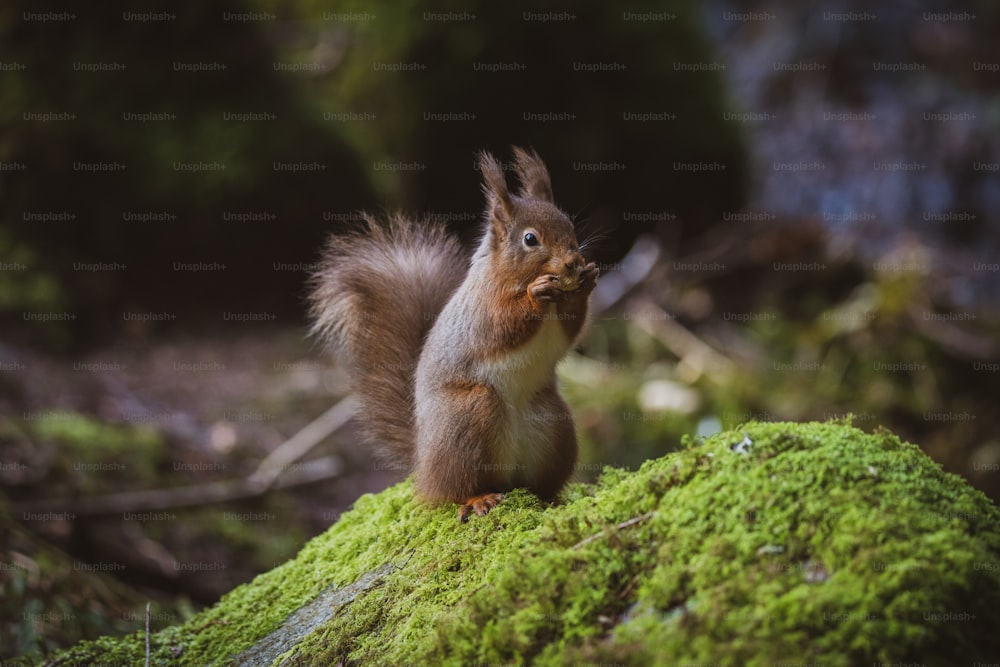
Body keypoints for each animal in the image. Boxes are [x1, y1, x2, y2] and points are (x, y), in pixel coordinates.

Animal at [308, 149, 596, 524]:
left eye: (570, 227)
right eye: (530, 239)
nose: (573, 262)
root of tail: (424, 465)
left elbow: (568, 332)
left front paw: (586, 282)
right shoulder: (481, 311)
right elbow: (500, 329)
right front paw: (537, 293)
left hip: (552, 423)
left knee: (536, 483)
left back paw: (552, 499)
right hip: (469, 413)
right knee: (453, 490)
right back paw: (478, 498)